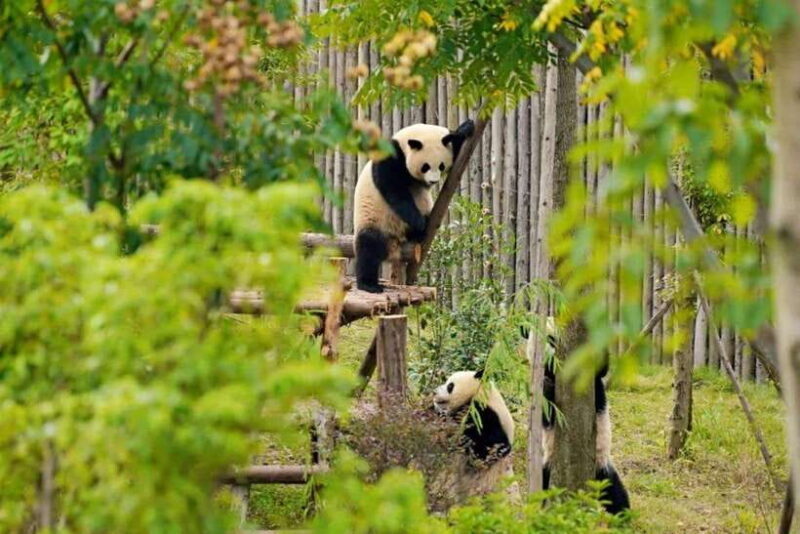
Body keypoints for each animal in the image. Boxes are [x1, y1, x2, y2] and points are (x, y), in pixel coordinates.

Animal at [353, 120, 475, 293]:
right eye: (425, 166)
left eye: (441, 166)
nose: (433, 181)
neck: (402, 145)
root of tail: (396, 241)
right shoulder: (390, 159)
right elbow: (395, 192)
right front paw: (421, 223)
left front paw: (465, 129)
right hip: (374, 220)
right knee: (369, 247)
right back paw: (369, 284)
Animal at [530, 319, 630, 515]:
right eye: (548, 339)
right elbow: (547, 411)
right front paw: (548, 387)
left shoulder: (593, 379)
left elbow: (600, 367)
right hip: (550, 467)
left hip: (603, 468)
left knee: (616, 495)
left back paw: (623, 515)